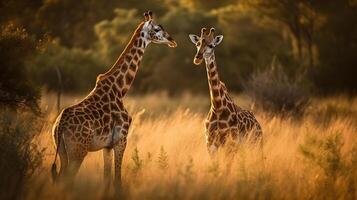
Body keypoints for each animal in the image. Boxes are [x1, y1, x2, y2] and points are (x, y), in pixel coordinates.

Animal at [50, 10, 177, 189]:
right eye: (158, 29)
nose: (172, 41)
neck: (120, 89)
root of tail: (60, 125)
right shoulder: (121, 139)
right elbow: (117, 180)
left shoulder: (107, 146)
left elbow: (106, 179)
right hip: (78, 151)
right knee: (66, 179)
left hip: (62, 150)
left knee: (60, 178)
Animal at [189, 27, 262, 156]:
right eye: (197, 44)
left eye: (211, 45)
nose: (197, 58)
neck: (218, 106)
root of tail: (258, 124)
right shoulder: (210, 144)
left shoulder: (231, 143)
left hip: (256, 144)